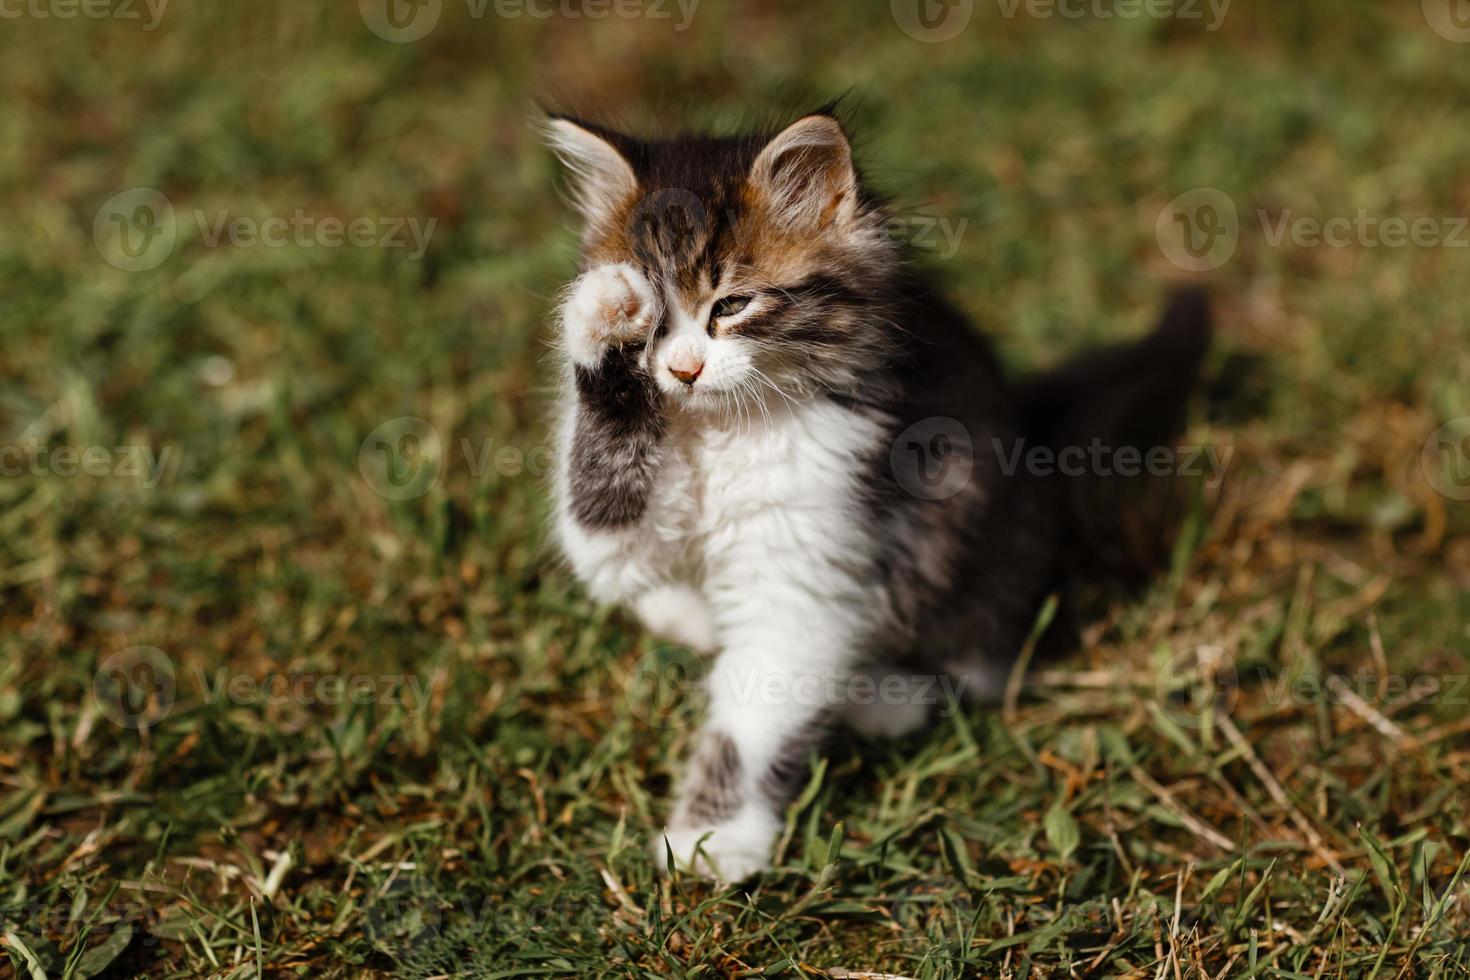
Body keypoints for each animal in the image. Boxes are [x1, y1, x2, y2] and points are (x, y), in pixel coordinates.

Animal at [546, 107, 1211, 881]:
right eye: (657, 323)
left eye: (731, 305)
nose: (682, 370)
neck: (723, 427)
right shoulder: (617, 536)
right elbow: (602, 515)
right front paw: (600, 317)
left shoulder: (809, 556)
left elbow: (755, 714)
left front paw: (711, 839)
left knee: (975, 659)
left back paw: (881, 696)